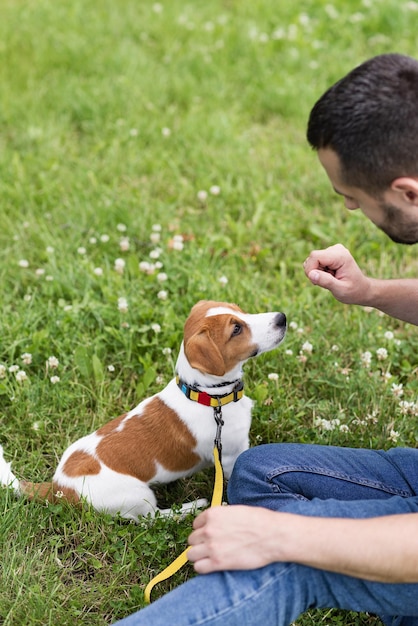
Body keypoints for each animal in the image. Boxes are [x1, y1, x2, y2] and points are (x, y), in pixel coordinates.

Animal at [0, 300, 286, 520]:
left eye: (240, 310)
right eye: (236, 329)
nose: (282, 318)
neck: (208, 396)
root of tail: (59, 487)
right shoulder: (229, 456)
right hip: (137, 496)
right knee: (152, 518)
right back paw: (191, 508)